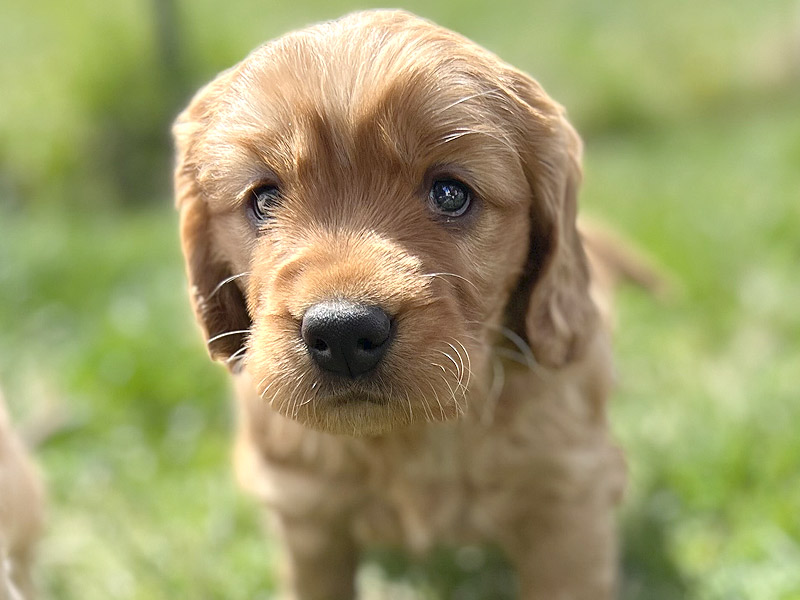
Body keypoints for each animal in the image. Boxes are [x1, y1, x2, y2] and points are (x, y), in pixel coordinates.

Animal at [173, 10, 624, 600]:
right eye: (264, 199)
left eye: (451, 194)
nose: (342, 332)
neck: (411, 437)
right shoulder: (306, 513)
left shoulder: (566, 499)